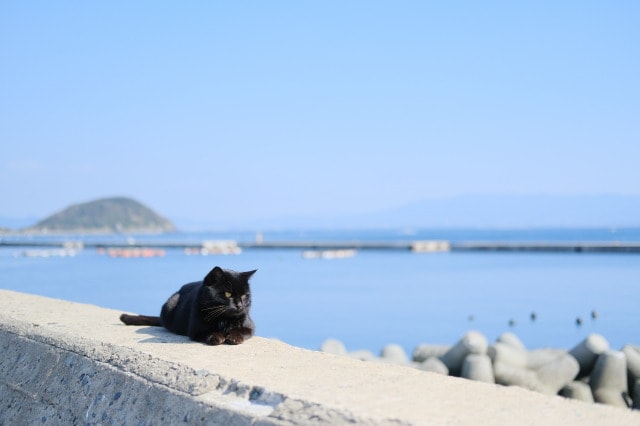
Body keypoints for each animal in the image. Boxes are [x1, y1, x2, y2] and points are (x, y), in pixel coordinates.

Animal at [121, 266, 256, 346]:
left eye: (244, 295)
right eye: (228, 294)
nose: (240, 305)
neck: (224, 319)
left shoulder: (249, 326)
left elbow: (242, 330)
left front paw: (234, 337)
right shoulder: (195, 330)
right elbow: (209, 331)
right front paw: (217, 336)